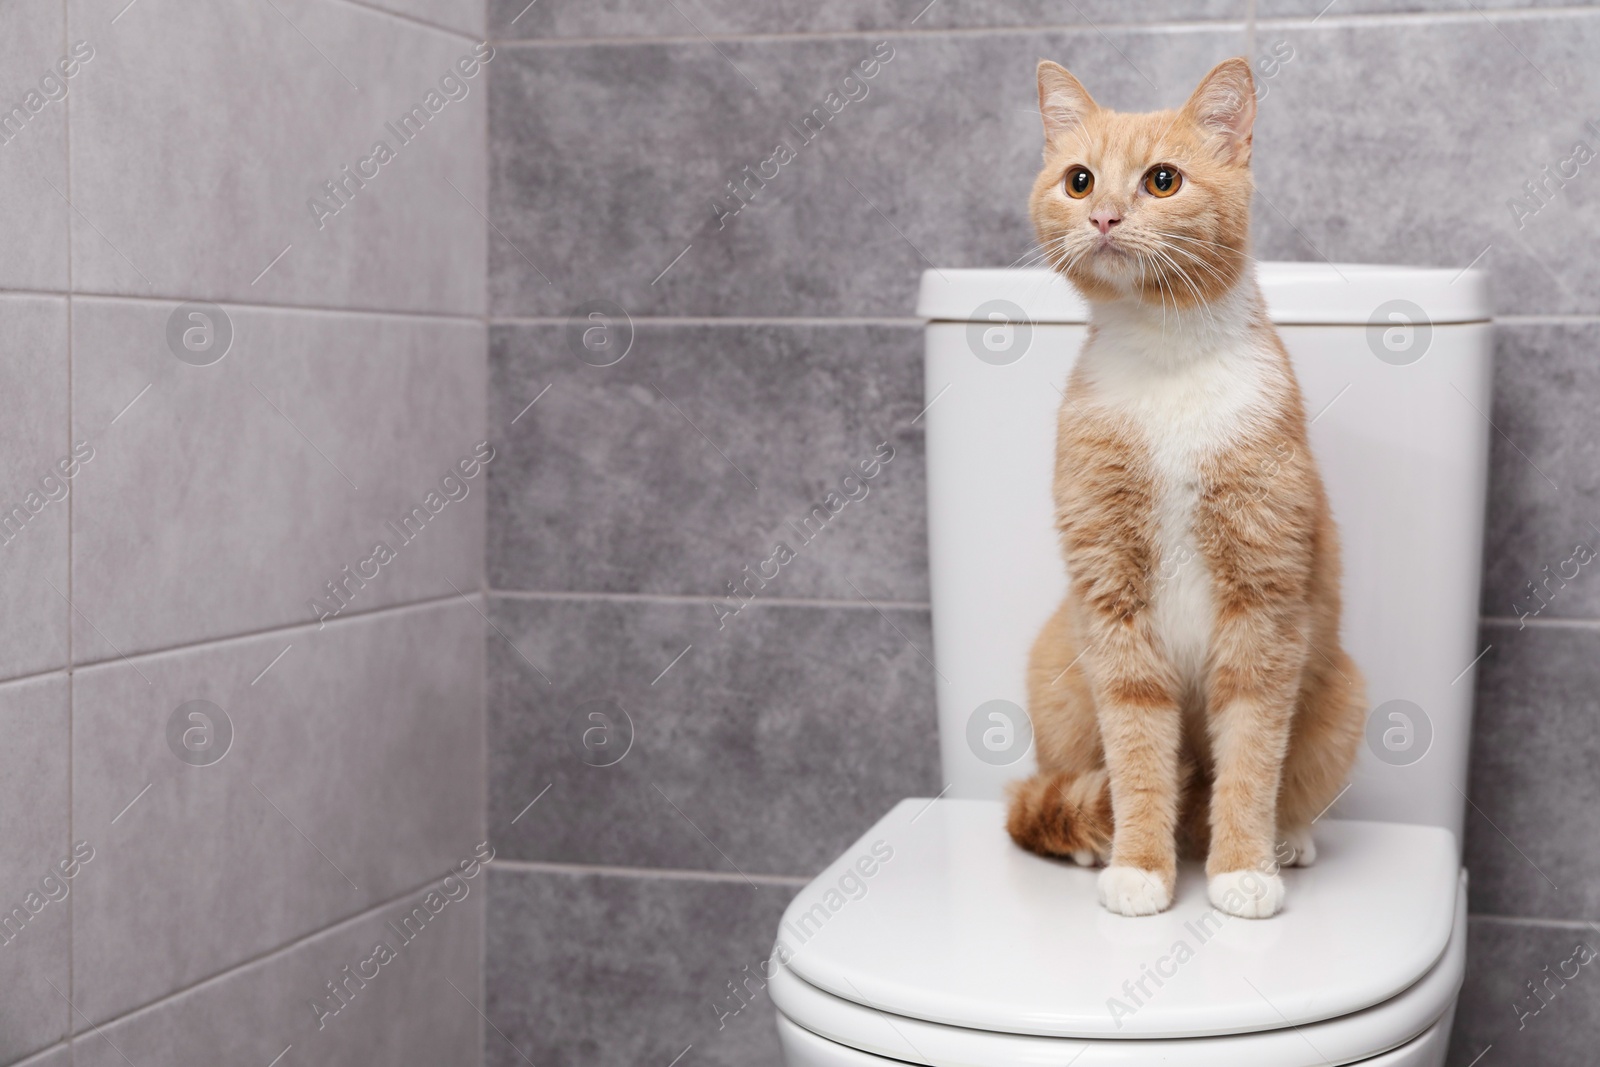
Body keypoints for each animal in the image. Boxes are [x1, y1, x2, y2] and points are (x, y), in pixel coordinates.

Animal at [998, 56, 1363, 921]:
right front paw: (1139, 865)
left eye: (1162, 180)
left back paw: (1288, 837)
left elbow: (1250, 758)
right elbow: (1138, 756)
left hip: (1345, 698)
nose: (1103, 215)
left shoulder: (1265, 605)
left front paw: (1241, 869)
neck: (1165, 356)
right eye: (1079, 179)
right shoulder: (1110, 601)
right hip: (1057, 659)